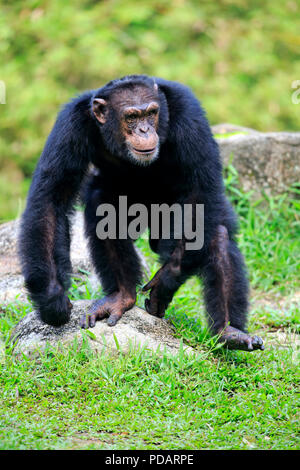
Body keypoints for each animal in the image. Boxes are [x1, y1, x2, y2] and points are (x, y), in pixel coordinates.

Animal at [18, 74, 264, 348]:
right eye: (131, 117)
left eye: (151, 113)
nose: (144, 130)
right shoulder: (70, 125)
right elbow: (52, 200)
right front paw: (52, 299)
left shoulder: (189, 113)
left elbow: (200, 193)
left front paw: (165, 282)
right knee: (103, 208)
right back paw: (122, 295)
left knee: (216, 233)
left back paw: (229, 331)